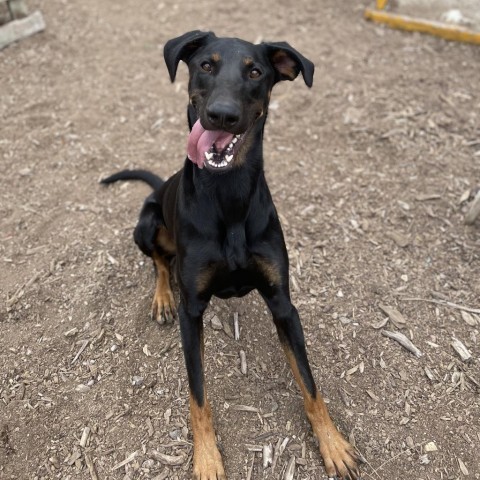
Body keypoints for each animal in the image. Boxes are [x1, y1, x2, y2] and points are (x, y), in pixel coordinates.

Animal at [102, 31, 360, 480]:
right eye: (206, 64)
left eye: (255, 72)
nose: (221, 115)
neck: (230, 192)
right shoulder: (192, 313)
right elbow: (198, 396)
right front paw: (207, 457)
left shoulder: (283, 303)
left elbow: (310, 385)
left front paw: (333, 443)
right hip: (146, 223)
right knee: (159, 263)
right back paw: (162, 297)